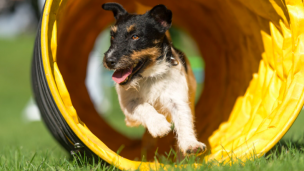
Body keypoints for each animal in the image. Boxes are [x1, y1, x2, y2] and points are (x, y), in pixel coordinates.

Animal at [102, 2, 207, 156]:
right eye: (112, 36)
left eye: (135, 36)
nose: (108, 61)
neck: (149, 76)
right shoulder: (128, 104)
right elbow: (143, 106)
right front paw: (160, 126)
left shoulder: (177, 98)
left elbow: (183, 120)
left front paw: (191, 144)